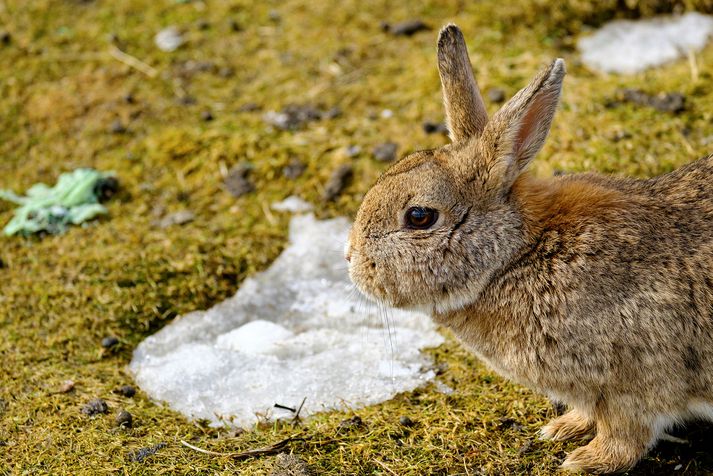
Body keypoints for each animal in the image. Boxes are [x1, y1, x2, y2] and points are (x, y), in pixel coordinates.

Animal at [344, 24, 712, 474]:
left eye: (418, 216)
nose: (351, 261)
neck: (515, 257)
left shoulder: (634, 385)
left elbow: (625, 436)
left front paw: (584, 460)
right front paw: (563, 429)